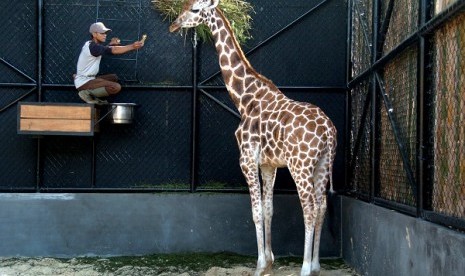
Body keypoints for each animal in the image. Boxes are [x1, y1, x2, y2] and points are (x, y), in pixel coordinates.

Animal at [169, 1, 336, 274]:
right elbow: (268, 210)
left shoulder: (246, 159)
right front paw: (269, 262)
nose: (174, 24)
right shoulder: (269, 164)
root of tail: (329, 131)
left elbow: (256, 211)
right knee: (321, 206)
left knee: (309, 208)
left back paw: (305, 268)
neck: (244, 99)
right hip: (322, 163)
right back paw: (317, 266)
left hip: (300, 166)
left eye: (194, 9)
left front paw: (259, 266)